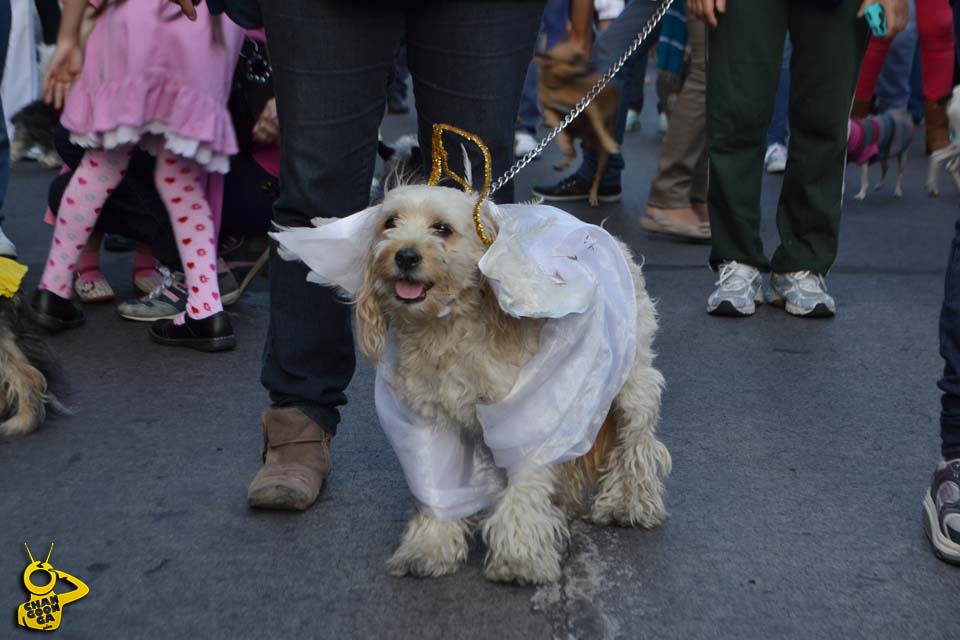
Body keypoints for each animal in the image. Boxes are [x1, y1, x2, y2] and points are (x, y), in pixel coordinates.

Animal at [348, 184, 672, 584]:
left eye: (442, 228)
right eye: (390, 222)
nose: (405, 255)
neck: (448, 329)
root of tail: (605, 234)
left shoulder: (525, 415)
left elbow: (524, 487)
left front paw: (519, 558)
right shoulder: (430, 423)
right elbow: (436, 486)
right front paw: (428, 549)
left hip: (632, 388)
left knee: (636, 444)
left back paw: (628, 504)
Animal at [536, 41, 620, 206]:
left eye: (583, 55)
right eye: (574, 60)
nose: (592, 65)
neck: (557, 87)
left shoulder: (590, 107)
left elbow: (597, 123)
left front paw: (609, 143)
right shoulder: (549, 110)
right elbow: (556, 126)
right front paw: (563, 143)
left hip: (602, 156)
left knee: (597, 176)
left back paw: (593, 195)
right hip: (573, 130)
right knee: (573, 152)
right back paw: (563, 161)